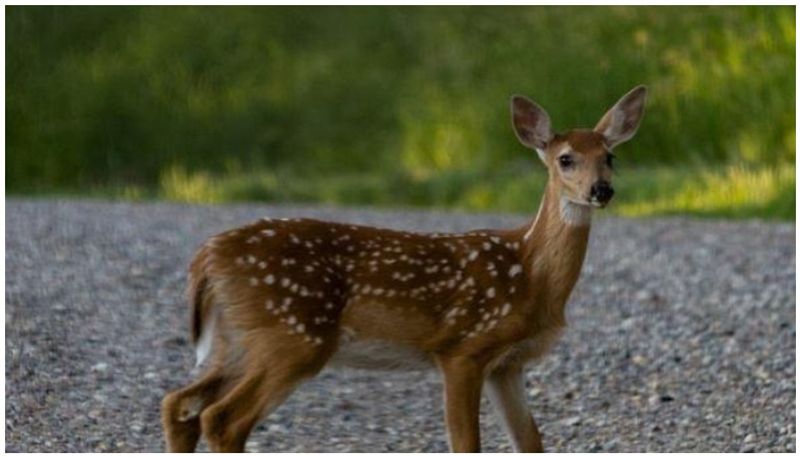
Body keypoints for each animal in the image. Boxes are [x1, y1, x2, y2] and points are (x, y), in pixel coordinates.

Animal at [162, 83, 648, 450]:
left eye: (610, 157)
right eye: (566, 159)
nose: (601, 190)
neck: (529, 273)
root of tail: (206, 256)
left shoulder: (508, 364)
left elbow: (530, 442)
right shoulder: (463, 348)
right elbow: (466, 443)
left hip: (239, 339)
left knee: (179, 404)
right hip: (292, 335)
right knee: (221, 418)